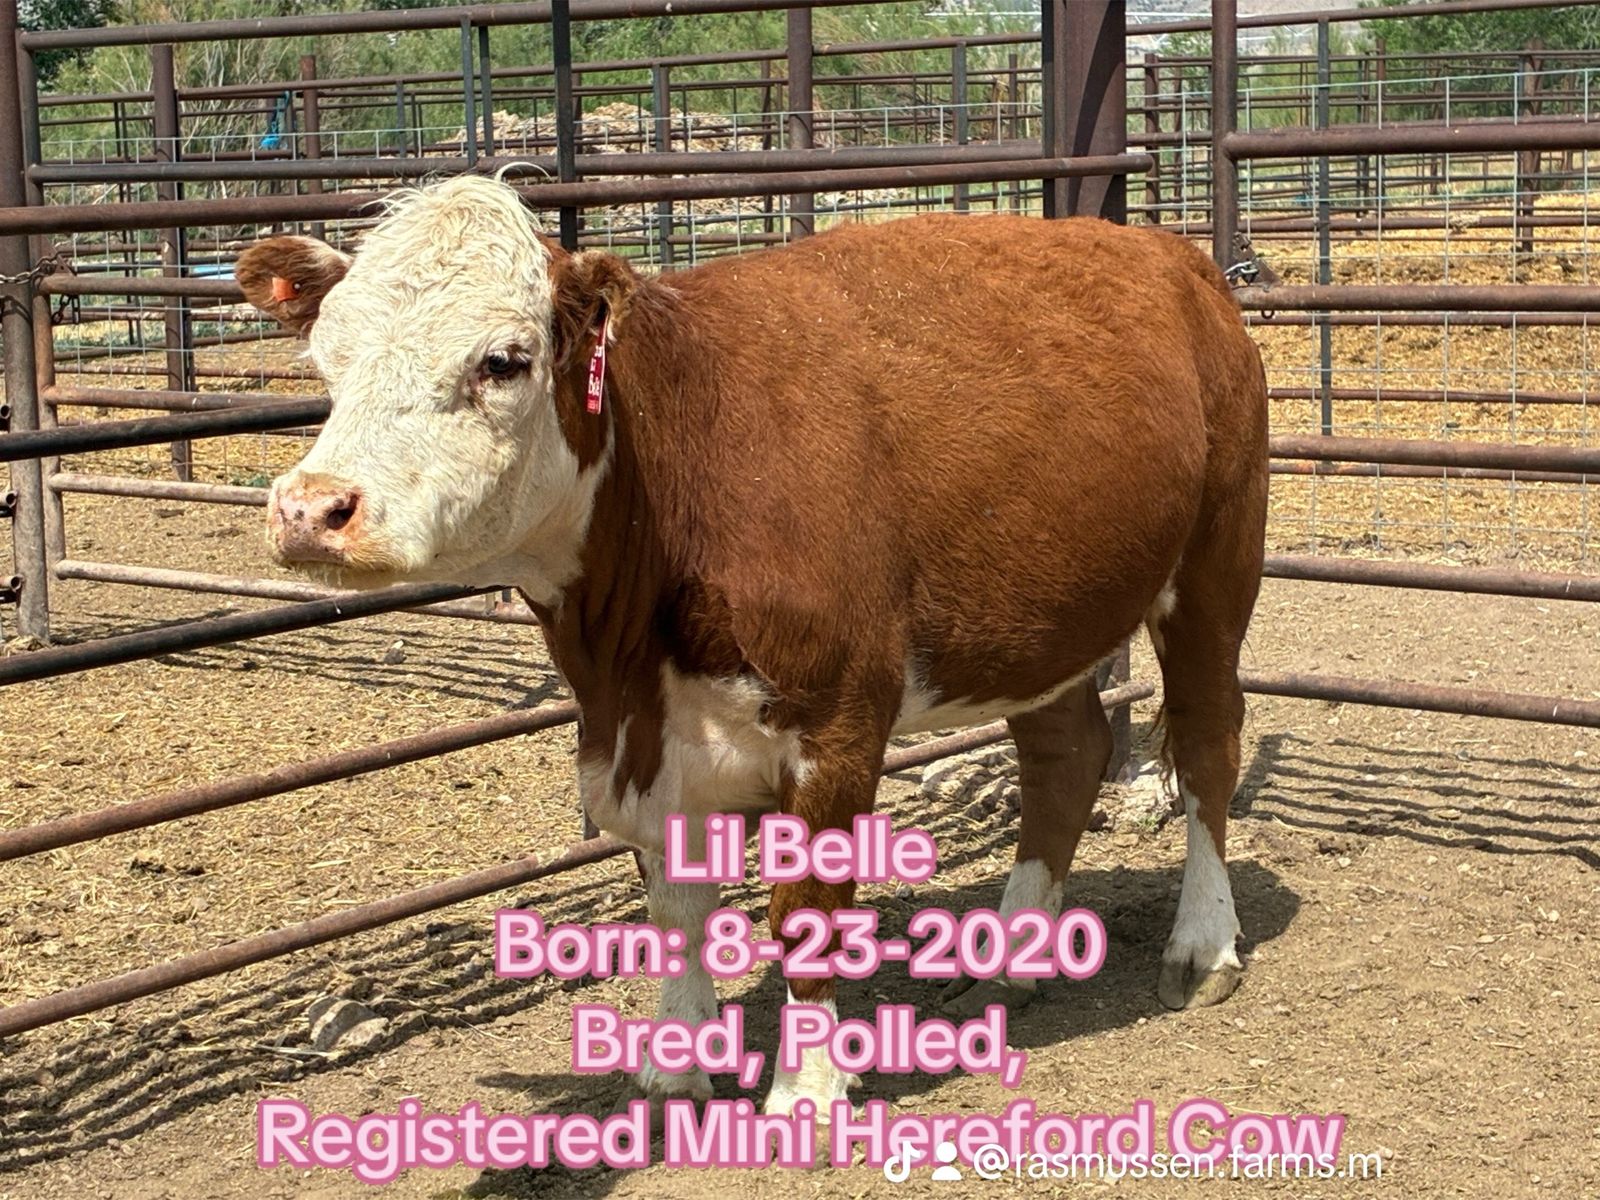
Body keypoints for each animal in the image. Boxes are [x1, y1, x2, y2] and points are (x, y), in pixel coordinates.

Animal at [237, 173, 1268, 1119]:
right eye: (328, 358)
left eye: (503, 360)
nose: (311, 509)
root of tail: (1173, 256)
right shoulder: (648, 740)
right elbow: (676, 908)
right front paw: (674, 1065)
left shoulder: (837, 723)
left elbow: (803, 914)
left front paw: (806, 1088)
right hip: (1037, 616)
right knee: (1067, 752)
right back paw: (1011, 951)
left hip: (1217, 568)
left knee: (1207, 744)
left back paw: (1202, 943)